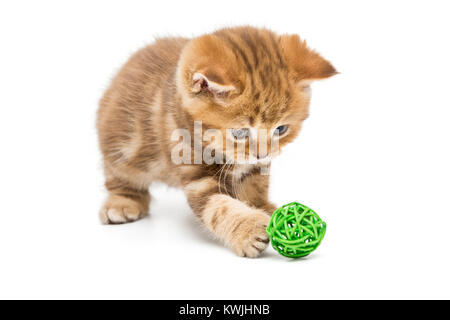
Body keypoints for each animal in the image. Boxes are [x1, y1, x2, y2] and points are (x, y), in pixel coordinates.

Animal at [96, 26, 334, 258]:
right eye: (239, 132)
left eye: (281, 129)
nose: (262, 154)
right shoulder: (196, 174)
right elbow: (219, 207)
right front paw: (249, 229)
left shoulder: (254, 169)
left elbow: (254, 188)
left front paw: (266, 208)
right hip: (123, 147)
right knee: (120, 175)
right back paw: (122, 203)